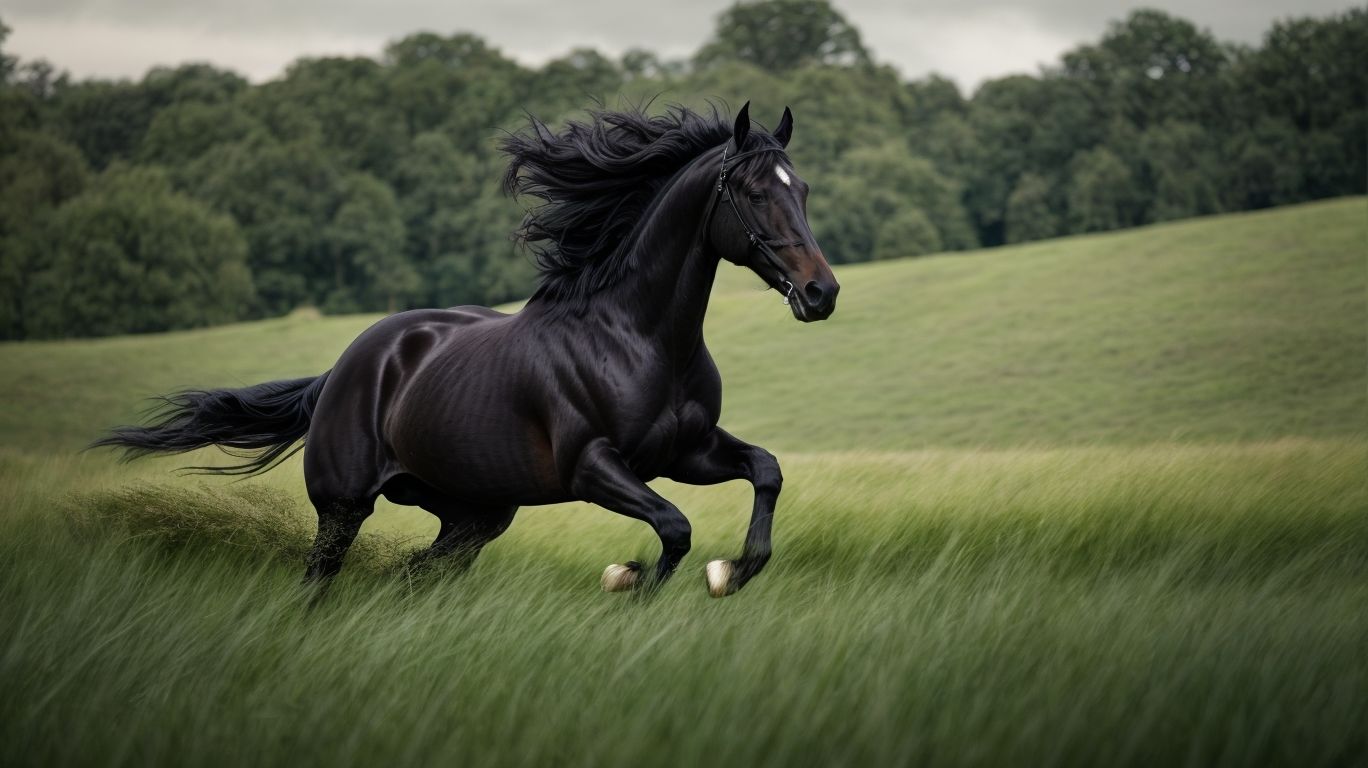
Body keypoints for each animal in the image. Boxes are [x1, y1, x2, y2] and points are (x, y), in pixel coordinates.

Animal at [95, 102, 839, 598]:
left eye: (801, 189)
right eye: (753, 193)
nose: (821, 292)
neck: (638, 338)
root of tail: (342, 370)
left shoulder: (686, 453)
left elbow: (766, 471)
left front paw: (730, 572)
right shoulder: (593, 467)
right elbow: (675, 528)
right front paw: (628, 578)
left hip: (473, 515)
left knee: (415, 572)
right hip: (344, 506)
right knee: (322, 579)